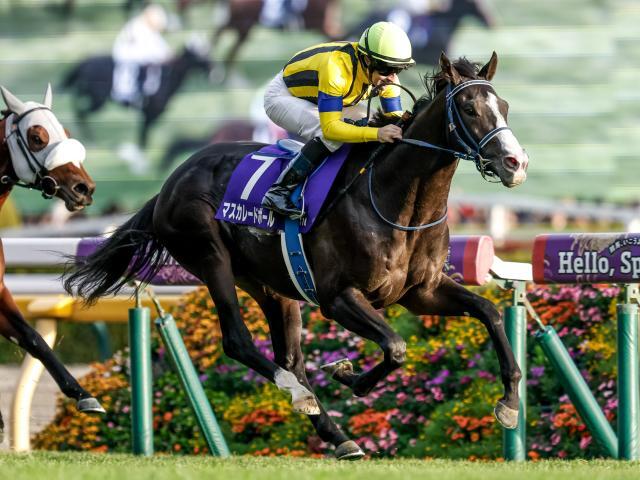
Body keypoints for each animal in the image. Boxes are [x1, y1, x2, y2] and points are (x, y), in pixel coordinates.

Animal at [61, 44, 212, 150]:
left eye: (206, 51)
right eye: (199, 55)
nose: (213, 68)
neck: (166, 76)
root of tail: (84, 62)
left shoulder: (150, 114)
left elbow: (143, 134)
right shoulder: (150, 112)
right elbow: (143, 135)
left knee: (78, 106)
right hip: (98, 99)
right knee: (81, 111)